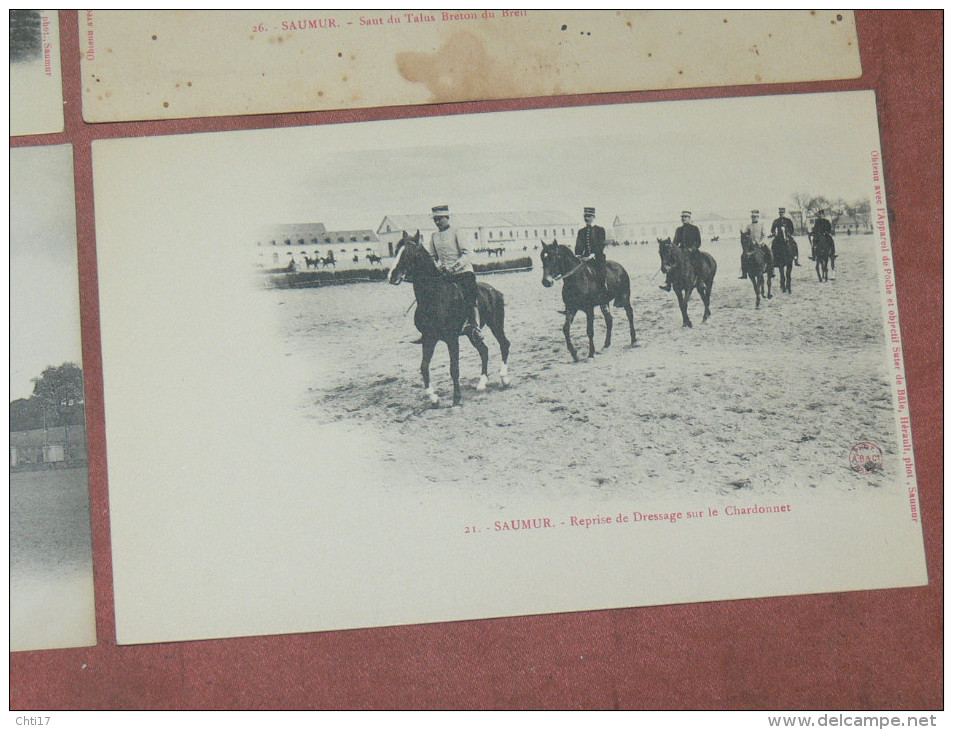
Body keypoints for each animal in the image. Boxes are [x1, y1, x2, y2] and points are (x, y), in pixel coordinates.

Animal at [386, 230, 510, 406]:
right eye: (396, 250)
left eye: (409, 252)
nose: (392, 276)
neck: (434, 296)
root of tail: (494, 291)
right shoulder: (429, 338)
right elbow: (424, 366)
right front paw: (433, 397)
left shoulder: (452, 338)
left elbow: (454, 368)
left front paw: (456, 398)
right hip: (472, 335)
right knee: (484, 351)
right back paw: (481, 383)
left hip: (496, 324)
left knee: (504, 344)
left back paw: (504, 378)